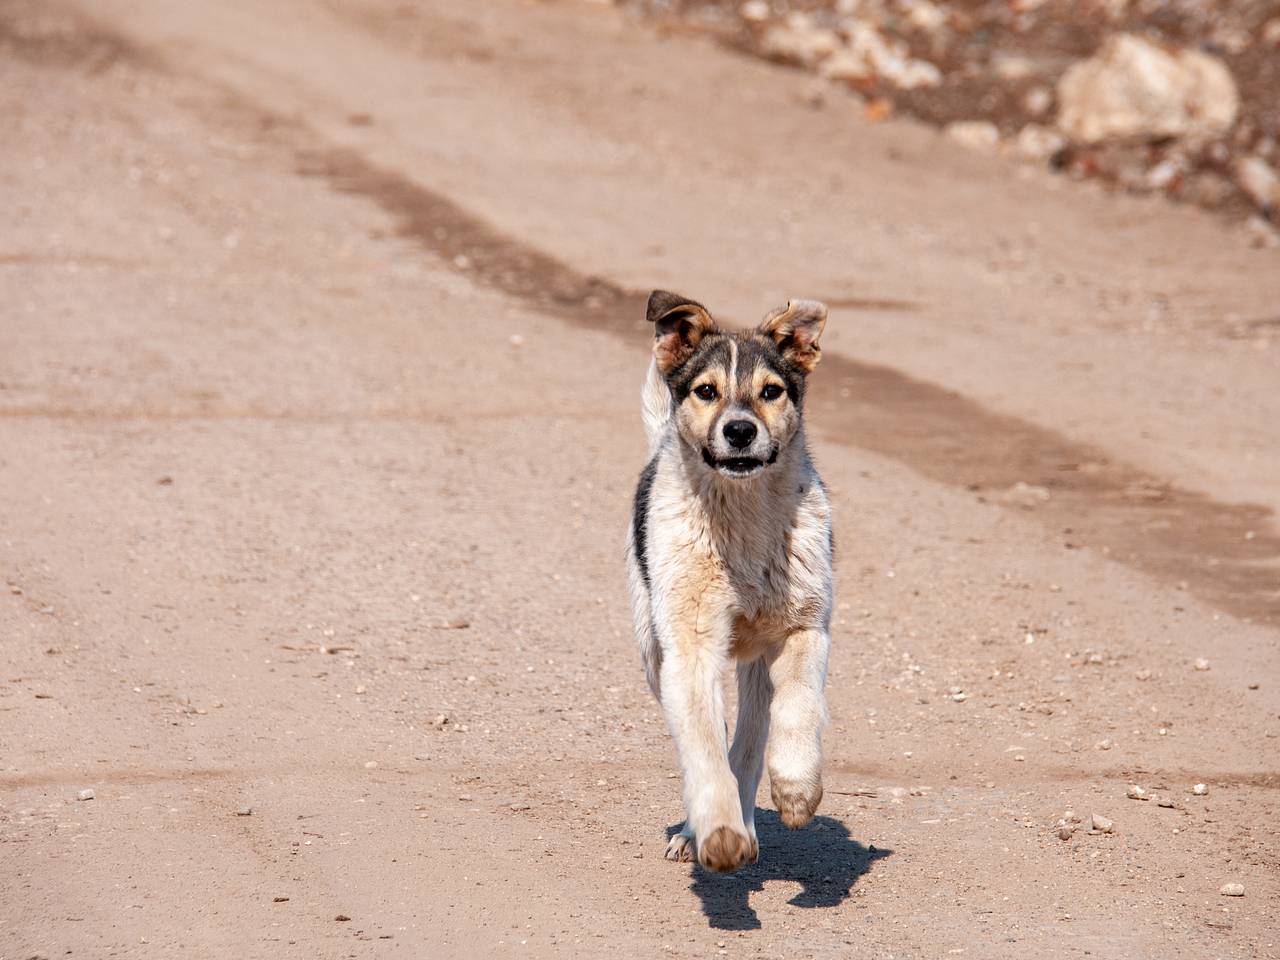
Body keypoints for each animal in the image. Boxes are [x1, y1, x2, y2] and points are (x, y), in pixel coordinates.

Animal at [624, 289, 834, 875]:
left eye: (771, 391)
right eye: (706, 391)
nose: (740, 431)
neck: (741, 523)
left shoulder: (806, 625)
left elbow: (798, 705)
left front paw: (797, 789)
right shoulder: (690, 645)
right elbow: (701, 744)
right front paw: (717, 833)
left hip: (757, 660)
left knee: (751, 734)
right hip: (654, 648)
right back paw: (699, 831)